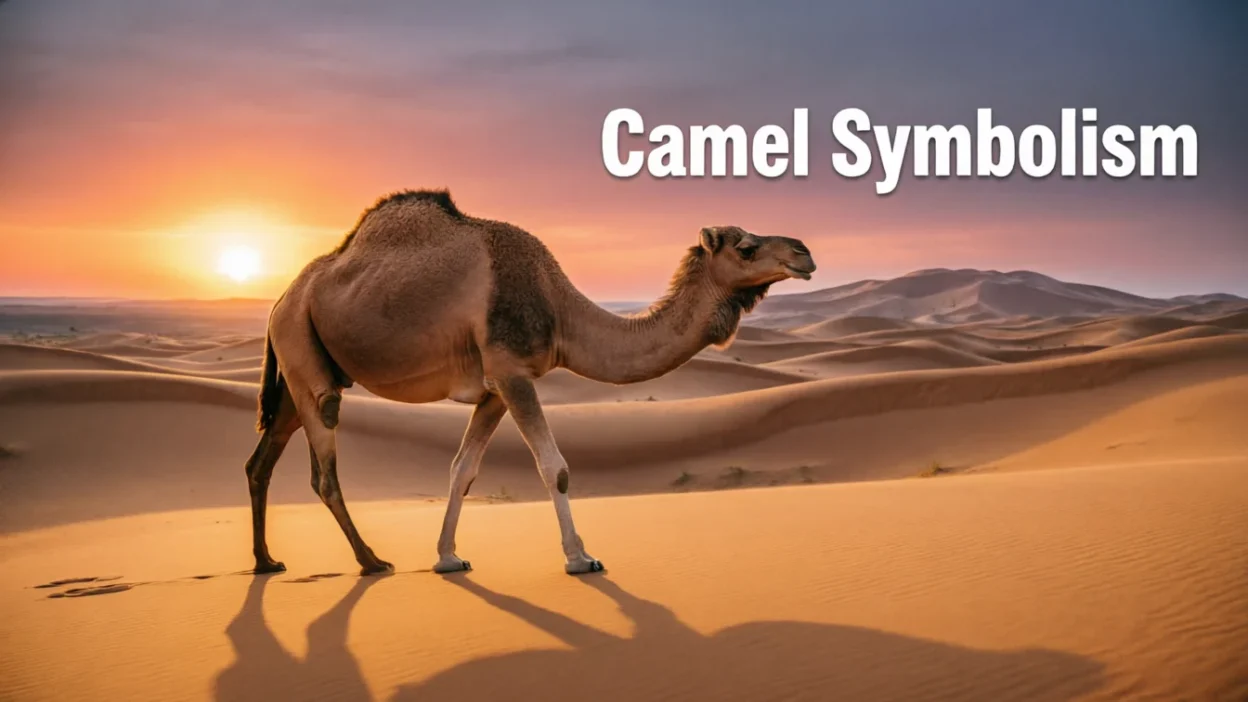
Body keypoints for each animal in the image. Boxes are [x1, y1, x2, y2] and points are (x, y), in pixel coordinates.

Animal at [243, 189, 816, 576]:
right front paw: (581, 557)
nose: (804, 252)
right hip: (303, 351)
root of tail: (280, 300)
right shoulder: (513, 372)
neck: (558, 307)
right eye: (746, 247)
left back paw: (267, 561)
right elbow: (554, 468)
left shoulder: (495, 388)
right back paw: (370, 560)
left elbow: (462, 469)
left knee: (261, 461)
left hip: (298, 368)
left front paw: (448, 557)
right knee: (323, 463)